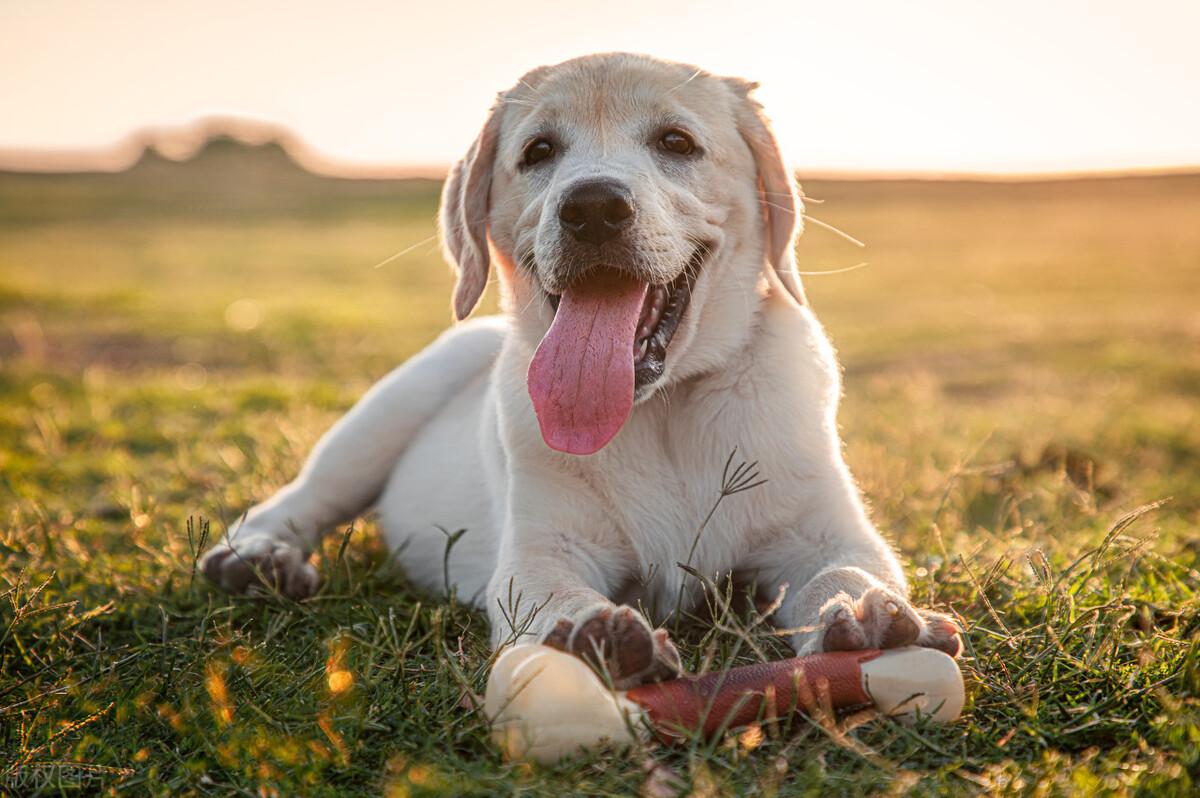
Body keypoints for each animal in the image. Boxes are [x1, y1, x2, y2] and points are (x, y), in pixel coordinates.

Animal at [201, 52, 960, 686]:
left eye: (676, 143)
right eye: (538, 152)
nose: (592, 206)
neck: (660, 409)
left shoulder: (823, 530)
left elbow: (847, 568)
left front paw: (868, 613)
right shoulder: (541, 549)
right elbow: (550, 591)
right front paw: (593, 631)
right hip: (397, 400)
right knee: (307, 495)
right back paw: (258, 556)